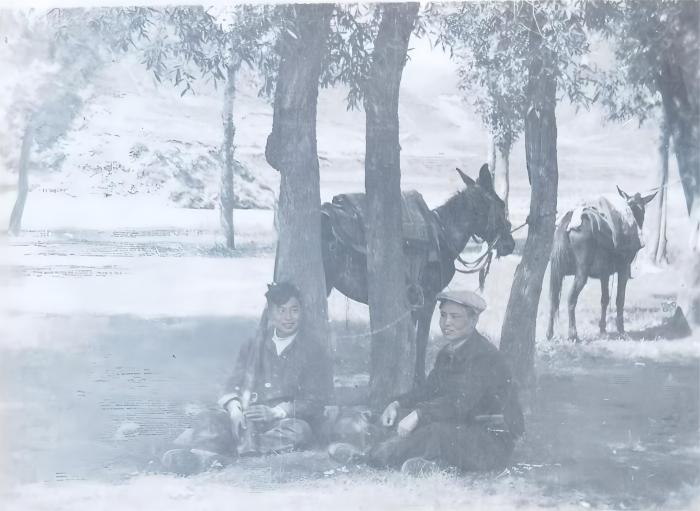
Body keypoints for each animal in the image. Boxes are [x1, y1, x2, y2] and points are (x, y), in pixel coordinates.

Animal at [321, 163, 515, 384]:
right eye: (500, 205)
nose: (510, 244)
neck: (443, 235)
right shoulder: (428, 299)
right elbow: (420, 340)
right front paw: (418, 379)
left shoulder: (412, 302)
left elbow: (409, 338)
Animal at [547, 186, 657, 341]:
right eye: (643, 208)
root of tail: (568, 223)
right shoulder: (623, 269)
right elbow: (619, 299)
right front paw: (621, 331)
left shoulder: (604, 273)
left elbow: (604, 299)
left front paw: (603, 329)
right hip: (581, 274)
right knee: (571, 299)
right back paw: (573, 334)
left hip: (556, 270)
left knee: (553, 298)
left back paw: (549, 333)